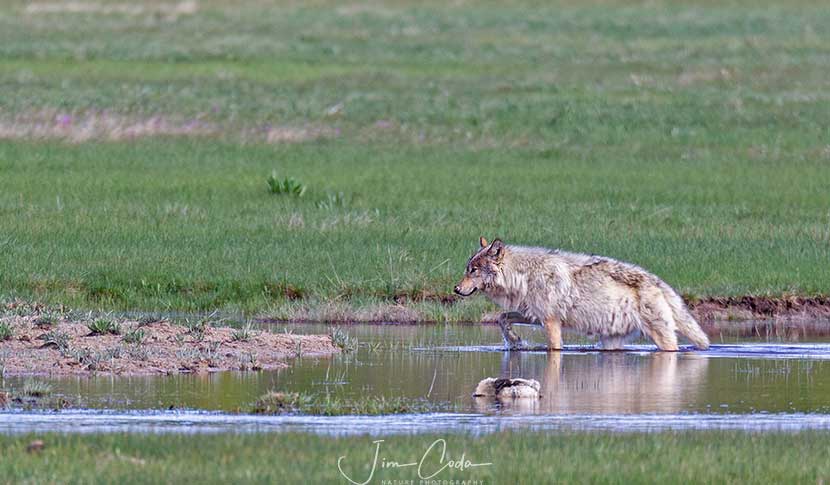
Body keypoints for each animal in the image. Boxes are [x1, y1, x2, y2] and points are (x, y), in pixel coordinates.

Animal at [452, 236, 712, 350]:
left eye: (473, 270)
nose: (455, 289)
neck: (524, 276)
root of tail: (658, 281)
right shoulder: (534, 315)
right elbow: (502, 318)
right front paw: (514, 340)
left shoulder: (551, 322)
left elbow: (555, 348)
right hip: (610, 342)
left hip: (661, 338)